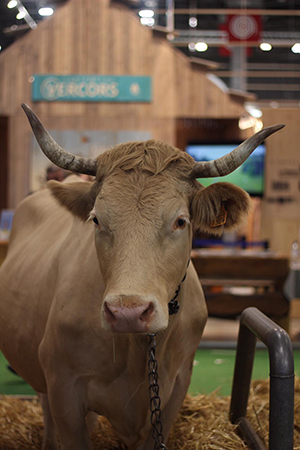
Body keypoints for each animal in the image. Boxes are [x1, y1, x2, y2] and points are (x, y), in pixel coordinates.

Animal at [0, 103, 284, 450]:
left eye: (180, 221)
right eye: (96, 219)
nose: (128, 312)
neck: (136, 348)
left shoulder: (173, 391)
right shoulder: (62, 387)